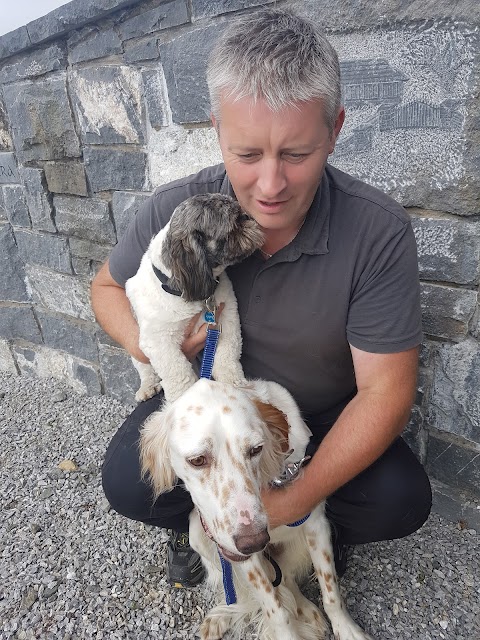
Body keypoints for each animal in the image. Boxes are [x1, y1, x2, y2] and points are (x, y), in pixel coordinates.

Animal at [124, 194, 262, 404]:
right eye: (233, 222)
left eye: (241, 214)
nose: (248, 216)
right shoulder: (159, 341)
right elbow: (178, 373)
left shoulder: (226, 319)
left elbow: (227, 357)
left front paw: (235, 385)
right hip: (137, 351)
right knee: (146, 370)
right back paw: (147, 387)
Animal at [141, 380, 374, 640]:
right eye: (197, 460)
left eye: (256, 449)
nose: (254, 542)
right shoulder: (238, 552)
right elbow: (275, 608)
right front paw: (288, 633)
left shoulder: (316, 525)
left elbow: (331, 590)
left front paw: (347, 628)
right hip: (198, 535)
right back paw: (223, 616)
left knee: (287, 578)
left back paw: (304, 608)